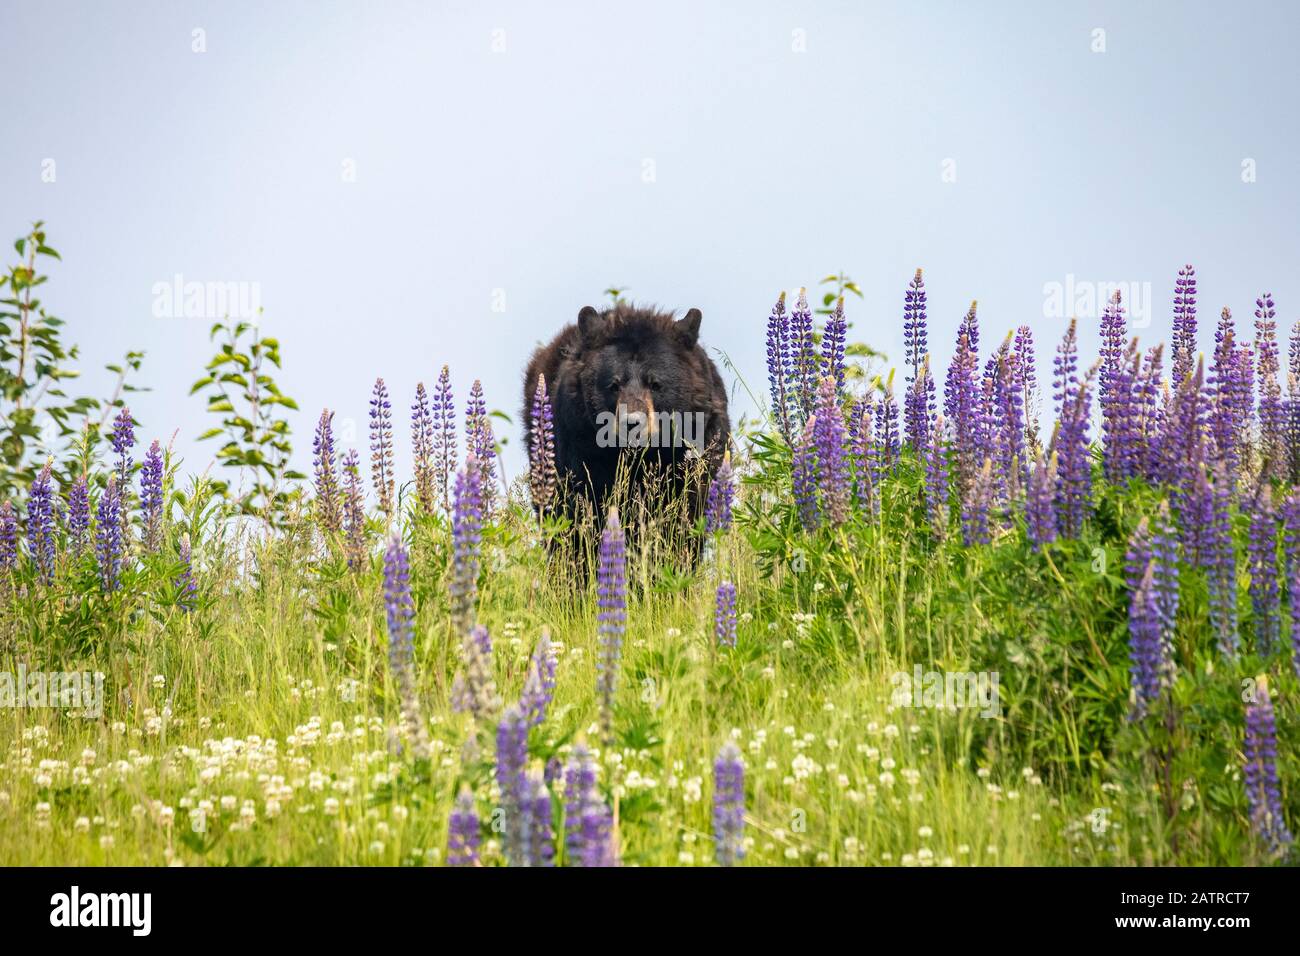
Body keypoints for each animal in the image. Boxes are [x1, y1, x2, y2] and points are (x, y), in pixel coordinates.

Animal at [525, 303, 733, 548]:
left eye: (655, 384)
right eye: (614, 385)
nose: (632, 422)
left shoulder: (697, 447)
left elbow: (687, 509)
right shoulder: (579, 445)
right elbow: (583, 507)